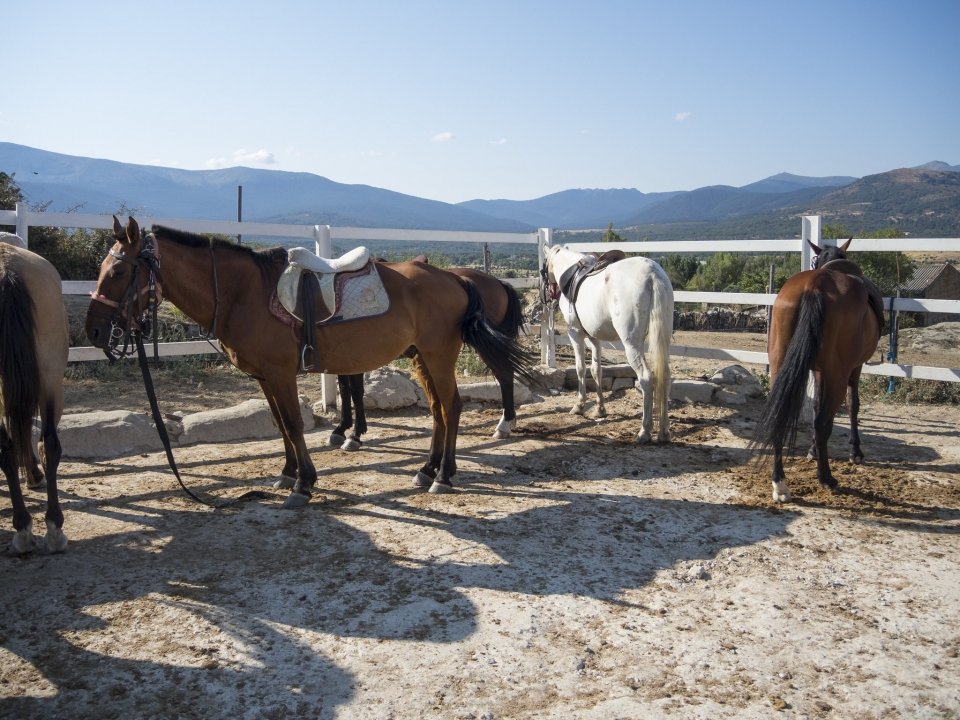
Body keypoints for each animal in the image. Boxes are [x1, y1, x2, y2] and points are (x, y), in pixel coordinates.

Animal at [330, 264, 526, 450]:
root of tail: (498, 282)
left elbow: (356, 391)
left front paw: (355, 435)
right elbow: (345, 390)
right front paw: (341, 429)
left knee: (505, 375)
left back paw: (505, 424)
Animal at [542, 244, 673, 444]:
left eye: (543, 268)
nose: (548, 295)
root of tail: (652, 273)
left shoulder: (576, 334)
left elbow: (581, 368)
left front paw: (579, 405)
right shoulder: (594, 338)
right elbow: (597, 370)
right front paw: (600, 409)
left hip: (632, 345)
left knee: (646, 377)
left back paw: (645, 431)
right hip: (662, 339)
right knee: (664, 376)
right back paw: (664, 432)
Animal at [750, 239, 882, 502]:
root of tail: (815, 285)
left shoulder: (819, 371)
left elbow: (817, 404)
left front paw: (812, 450)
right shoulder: (853, 368)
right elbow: (851, 405)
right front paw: (855, 451)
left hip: (780, 367)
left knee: (779, 415)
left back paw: (780, 484)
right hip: (838, 374)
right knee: (824, 423)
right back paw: (827, 478)